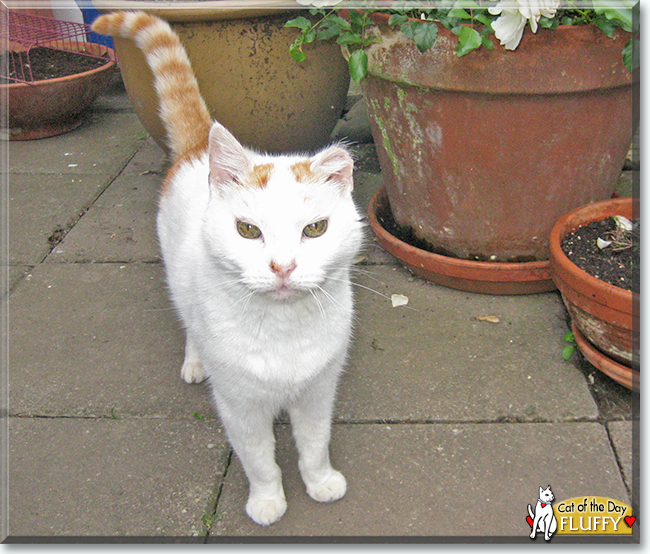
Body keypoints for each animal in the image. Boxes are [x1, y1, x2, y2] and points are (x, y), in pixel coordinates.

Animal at [92, 10, 362, 524]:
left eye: (315, 229)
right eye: (248, 230)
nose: (282, 266)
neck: (283, 330)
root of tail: (199, 147)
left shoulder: (319, 391)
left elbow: (314, 444)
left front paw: (321, 483)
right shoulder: (240, 406)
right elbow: (259, 458)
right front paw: (268, 503)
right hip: (179, 283)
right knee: (189, 326)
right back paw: (195, 363)